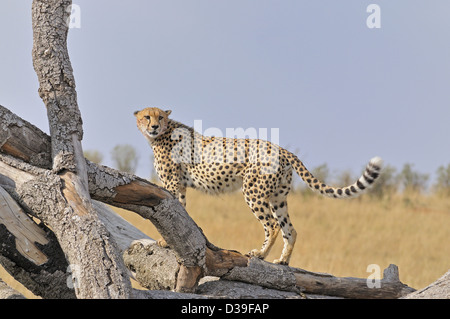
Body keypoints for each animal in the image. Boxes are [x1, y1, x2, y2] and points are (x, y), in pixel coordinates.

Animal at [134, 109, 384, 266]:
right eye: (147, 116)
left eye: (159, 117)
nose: (154, 126)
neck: (163, 133)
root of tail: (282, 149)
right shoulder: (180, 185)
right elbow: (180, 209)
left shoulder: (173, 183)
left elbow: (174, 208)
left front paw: (165, 240)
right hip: (278, 197)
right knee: (290, 229)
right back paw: (283, 260)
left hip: (253, 192)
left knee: (272, 226)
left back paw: (260, 254)